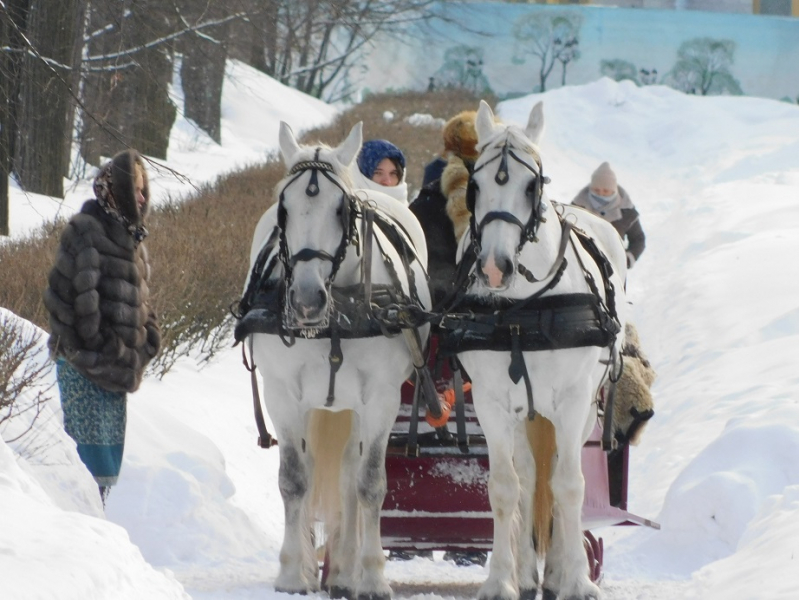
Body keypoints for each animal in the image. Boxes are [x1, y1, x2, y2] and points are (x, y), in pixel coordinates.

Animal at [242, 122, 432, 600]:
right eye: (283, 209)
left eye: (341, 209)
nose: (306, 300)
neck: (338, 315)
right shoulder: (282, 394)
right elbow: (294, 479)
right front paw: (293, 574)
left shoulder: (381, 399)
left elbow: (370, 483)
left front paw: (373, 575)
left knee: (349, 472)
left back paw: (347, 568)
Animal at [454, 103, 628, 600]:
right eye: (475, 185)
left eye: (531, 186)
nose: (494, 268)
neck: (522, 310)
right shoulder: (491, 403)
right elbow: (505, 487)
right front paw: (500, 580)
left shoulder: (572, 402)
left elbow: (568, 486)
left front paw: (578, 580)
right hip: (523, 412)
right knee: (530, 477)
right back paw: (531, 572)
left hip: (584, 405)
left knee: (557, 479)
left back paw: (559, 572)